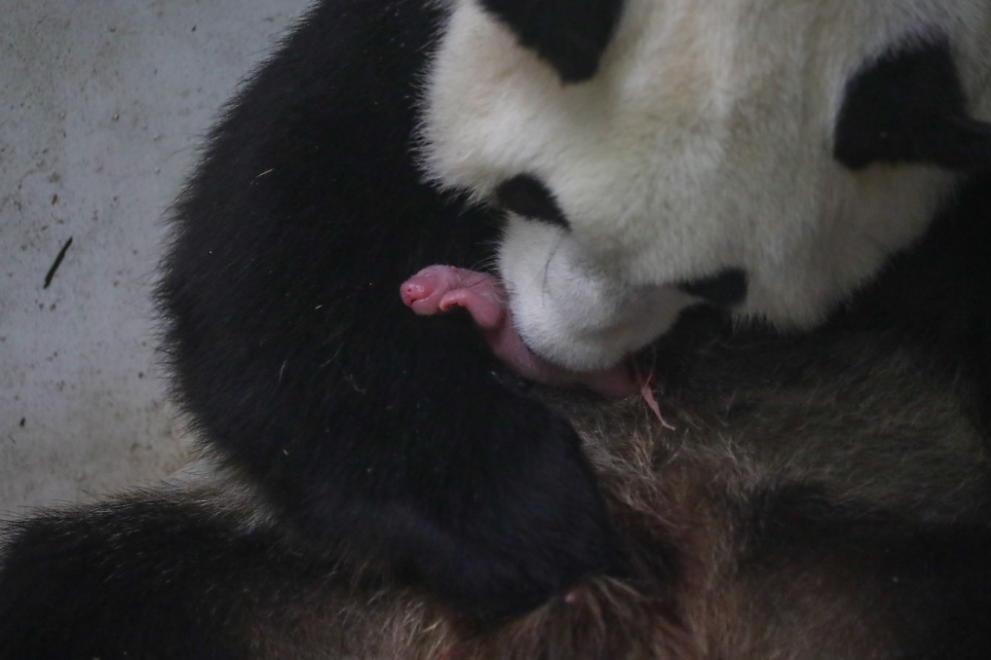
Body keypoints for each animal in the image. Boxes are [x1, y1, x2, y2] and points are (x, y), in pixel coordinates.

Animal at [2, 0, 991, 657]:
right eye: (528, 195)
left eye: (715, 285)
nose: (548, 351)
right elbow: (277, 251)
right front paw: (535, 520)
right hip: (274, 593)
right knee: (79, 594)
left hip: (875, 518)